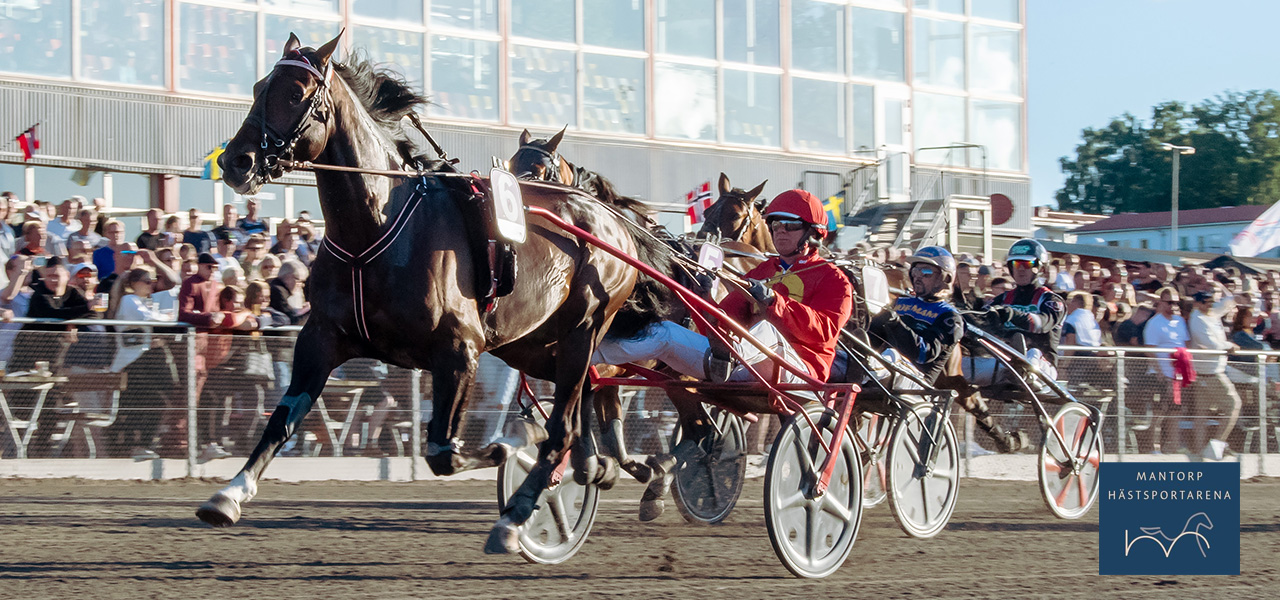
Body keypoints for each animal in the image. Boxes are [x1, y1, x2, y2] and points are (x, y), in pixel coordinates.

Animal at [195, 32, 675, 547]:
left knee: (564, 423)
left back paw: (520, 512)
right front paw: (229, 494)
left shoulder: (460, 349)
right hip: (532, 343)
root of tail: (615, 221)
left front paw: (512, 442)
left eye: (296, 93)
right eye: (258, 86)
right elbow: (281, 420)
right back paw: (601, 466)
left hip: (584, 327)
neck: (378, 228)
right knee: (587, 395)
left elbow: (445, 450)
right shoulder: (321, 338)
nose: (235, 161)